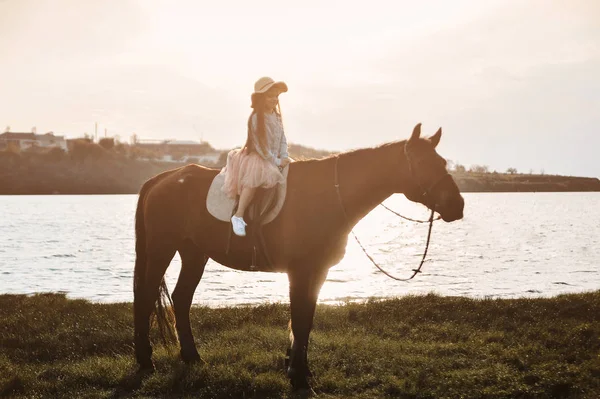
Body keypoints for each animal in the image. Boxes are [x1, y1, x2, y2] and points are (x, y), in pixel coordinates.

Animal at [134, 123, 466, 392]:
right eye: (422, 162)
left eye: (442, 162)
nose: (457, 205)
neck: (328, 196)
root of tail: (162, 179)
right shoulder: (301, 271)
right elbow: (300, 319)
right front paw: (298, 376)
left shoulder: (317, 271)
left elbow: (305, 320)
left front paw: (301, 370)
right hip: (162, 248)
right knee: (146, 296)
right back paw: (145, 360)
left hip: (194, 254)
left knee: (181, 299)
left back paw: (191, 357)